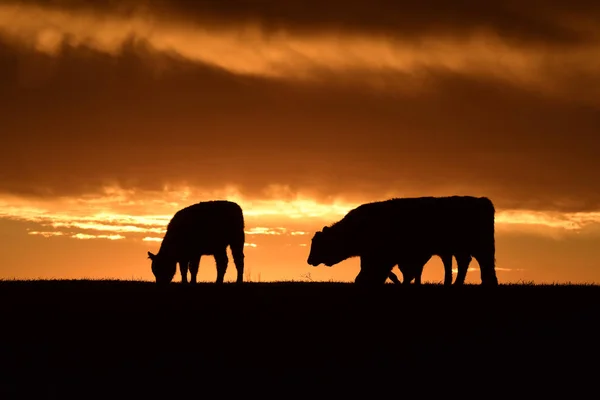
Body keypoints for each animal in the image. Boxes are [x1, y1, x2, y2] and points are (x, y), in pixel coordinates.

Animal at [308, 195, 500, 286]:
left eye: (319, 244)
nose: (309, 260)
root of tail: (482, 201)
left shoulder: (383, 257)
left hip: (479, 247)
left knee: (483, 263)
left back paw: (487, 283)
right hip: (460, 249)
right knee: (464, 262)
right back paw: (457, 284)